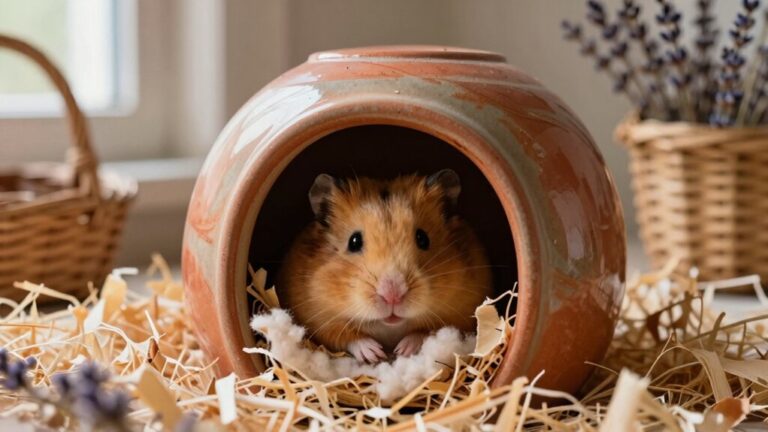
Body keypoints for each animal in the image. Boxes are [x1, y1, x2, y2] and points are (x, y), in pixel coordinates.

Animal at [277, 169, 492, 363]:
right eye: (354, 241)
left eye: (423, 238)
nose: (392, 296)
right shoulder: (317, 320)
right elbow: (347, 337)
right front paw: (374, 353)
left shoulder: (462, 315)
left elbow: (425, 331)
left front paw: (403, 350)